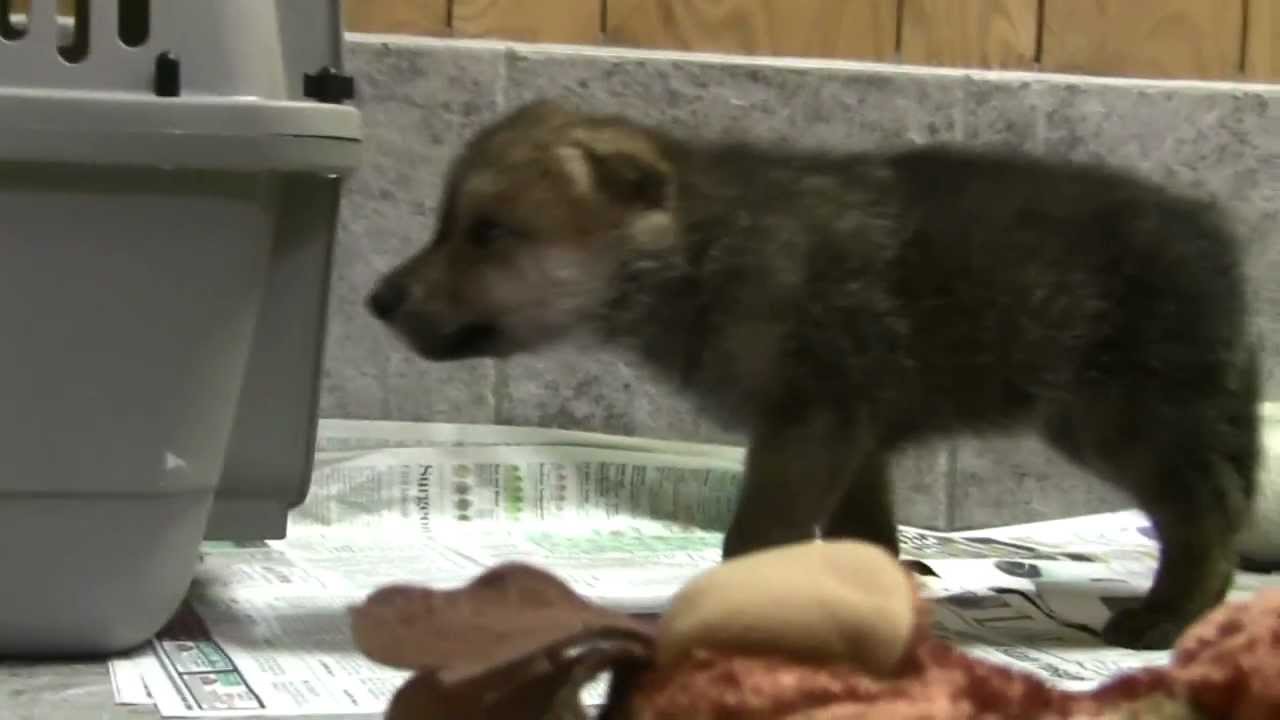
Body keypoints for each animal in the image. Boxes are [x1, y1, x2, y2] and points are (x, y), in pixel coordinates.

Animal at [367, 99, 1259, 650]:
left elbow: (753, 536)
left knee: (1206, 515)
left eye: (487, 232)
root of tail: (1217, 235)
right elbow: (867, 536)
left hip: (1119, 417)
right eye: (446, 224)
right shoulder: (852, 437)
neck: (697, 253)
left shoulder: (808, 424)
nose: (376, 300)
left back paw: (1170, 615)